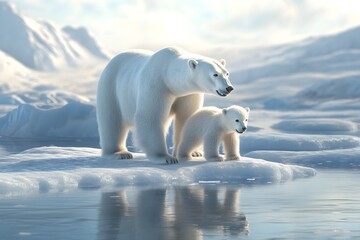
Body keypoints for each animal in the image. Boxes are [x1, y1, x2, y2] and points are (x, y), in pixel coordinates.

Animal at [97, 46, 235, 164]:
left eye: (226, 73)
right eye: (215, 74)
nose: (229, 88)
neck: (168, 75)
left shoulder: (189, 94)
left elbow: (187, 118)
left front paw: (194, 152)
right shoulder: (157, 85)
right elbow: (150, 117)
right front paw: (166, 158)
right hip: (111, 87)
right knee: (112, 121)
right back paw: (119, 153)